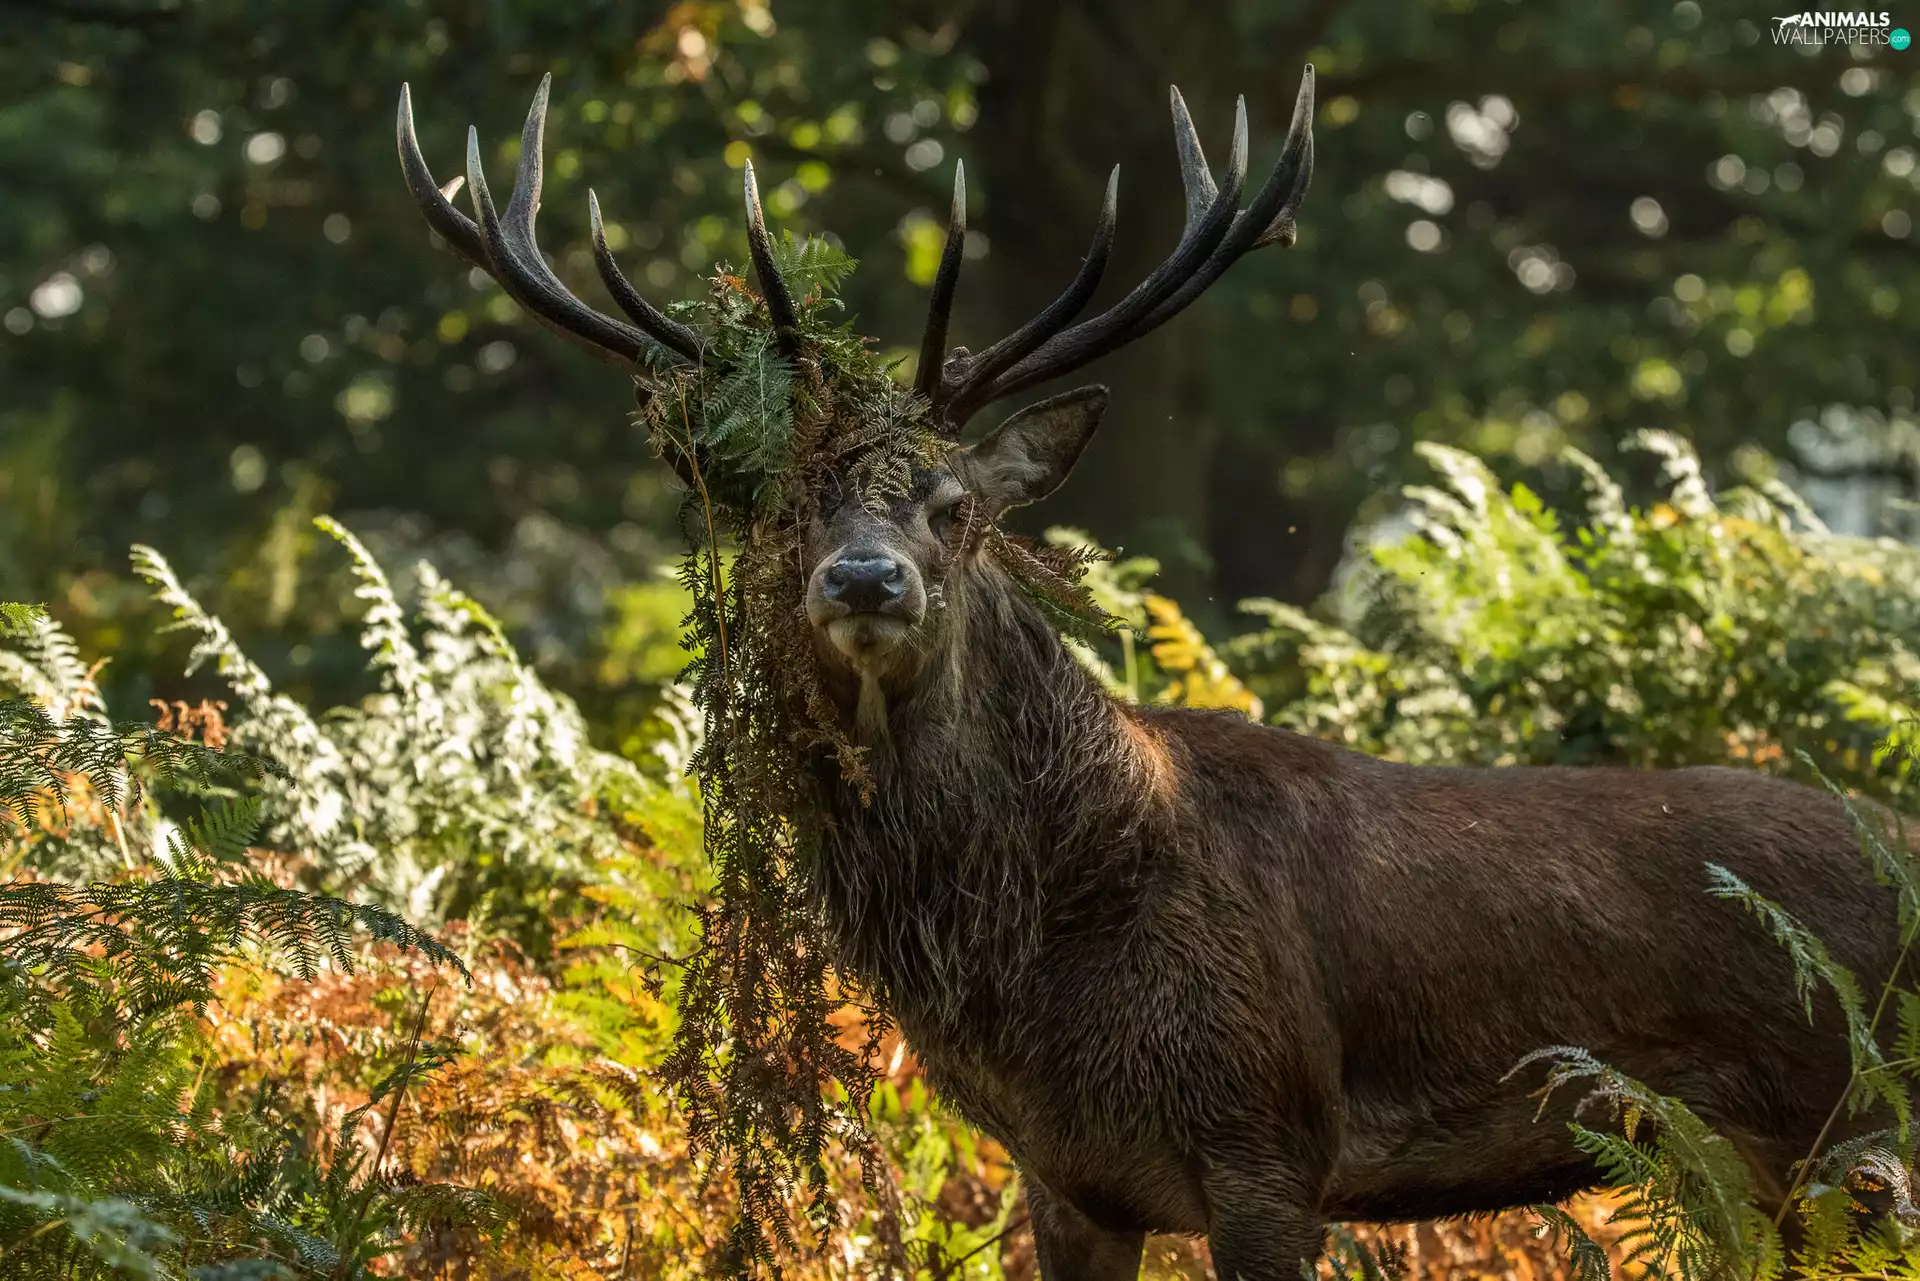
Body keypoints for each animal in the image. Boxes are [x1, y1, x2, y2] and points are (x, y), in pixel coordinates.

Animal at [397, 67, 1909, 1280]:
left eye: (954, 503)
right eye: (773, 513)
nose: (866, 580)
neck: (1043, 966)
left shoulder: (1269, 1142)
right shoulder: (1065, 1177)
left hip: (1851, 1127)